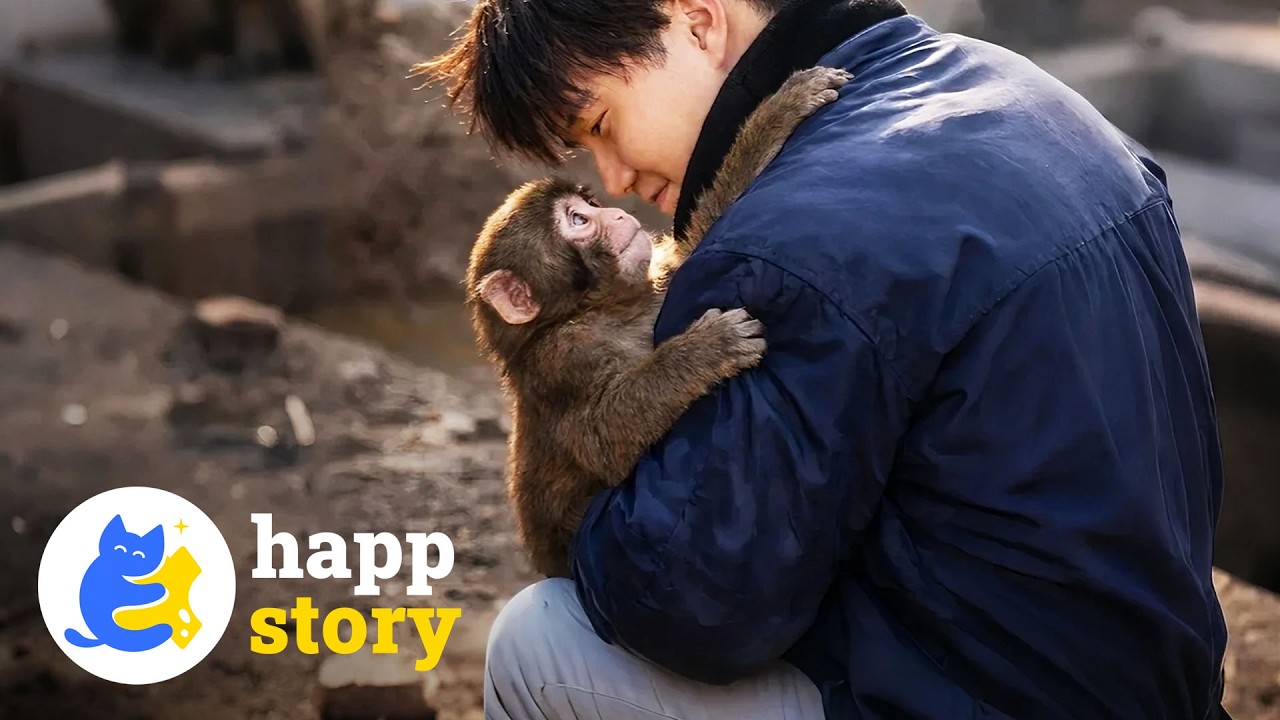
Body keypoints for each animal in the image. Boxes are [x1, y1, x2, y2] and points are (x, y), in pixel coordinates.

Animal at [466, 66, 852, 578]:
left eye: (588, 204)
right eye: (577, 220)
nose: (615, 212)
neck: (608, 308)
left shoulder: (659, 277)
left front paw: (777, 113)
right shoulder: (563, 358)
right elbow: (606, 436)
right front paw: (707, 348)